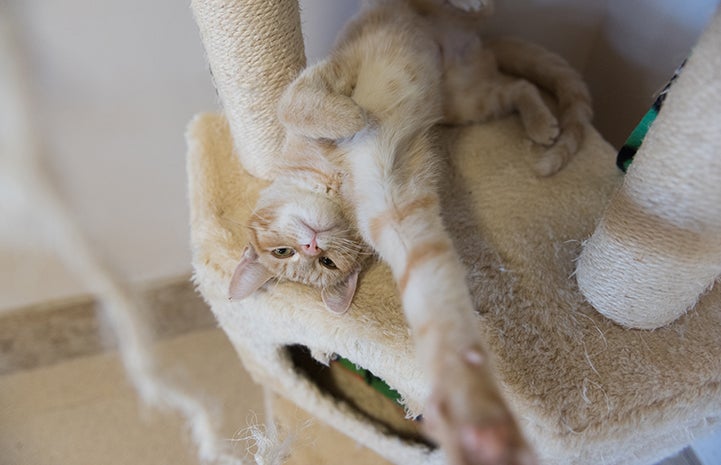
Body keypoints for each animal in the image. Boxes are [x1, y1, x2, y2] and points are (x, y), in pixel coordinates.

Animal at [231, 0, 592, 464]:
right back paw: (541, 123)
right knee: (518, 87)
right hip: (469, 100)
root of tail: (471, 44)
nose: (311, 244)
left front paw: (350, 115)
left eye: (283, 253)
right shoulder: (398, 215)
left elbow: (291, 104)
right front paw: (478, 425)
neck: (336, 182)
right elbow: (437, 307)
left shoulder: (324, 76)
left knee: (470, 15)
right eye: (321, 262)